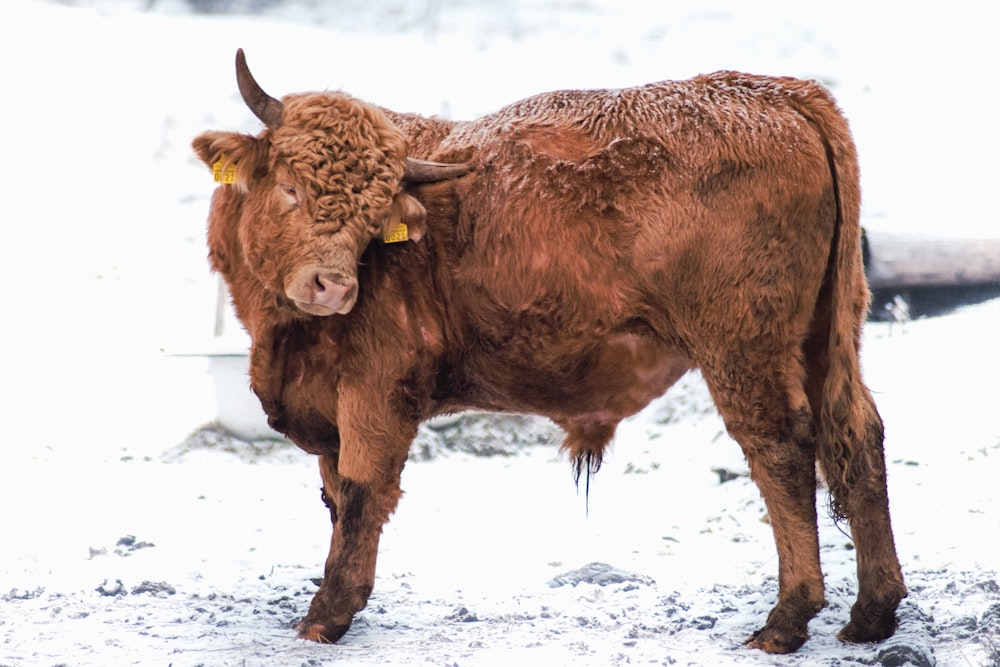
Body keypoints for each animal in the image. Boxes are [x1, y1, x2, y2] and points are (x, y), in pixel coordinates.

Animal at [193, 49, 908, 656]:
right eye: (290, 187)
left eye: (375, 217)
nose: (334, 287)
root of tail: (779, 93)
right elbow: (337, 495)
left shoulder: (375, 396)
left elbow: (364, 494)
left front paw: (326, 615)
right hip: (825, 337)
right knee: (857, 436)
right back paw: (872, 613)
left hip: (742, 351)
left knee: (782, 451)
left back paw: (786, 620)